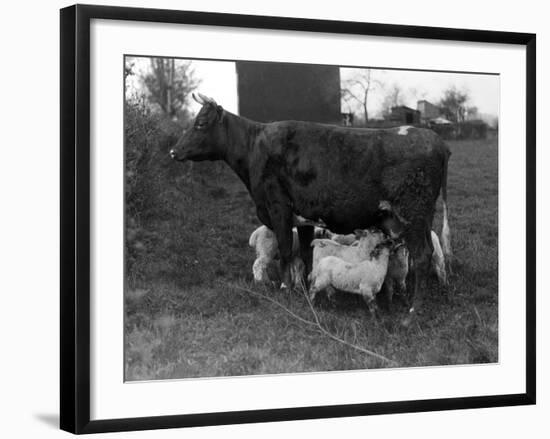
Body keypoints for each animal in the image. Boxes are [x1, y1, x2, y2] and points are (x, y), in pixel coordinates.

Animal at [171, 93, 452, 320]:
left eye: (200, 124)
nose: (173, 151)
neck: (255, 147)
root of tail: (434, 138)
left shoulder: (279, 208)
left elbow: (286, 250)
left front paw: (286, 289)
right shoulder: (304, 217)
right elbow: (305, 254)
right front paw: (305, 288)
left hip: (413, 214)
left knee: (423, 256)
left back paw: (413, 311)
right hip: (419, 218)